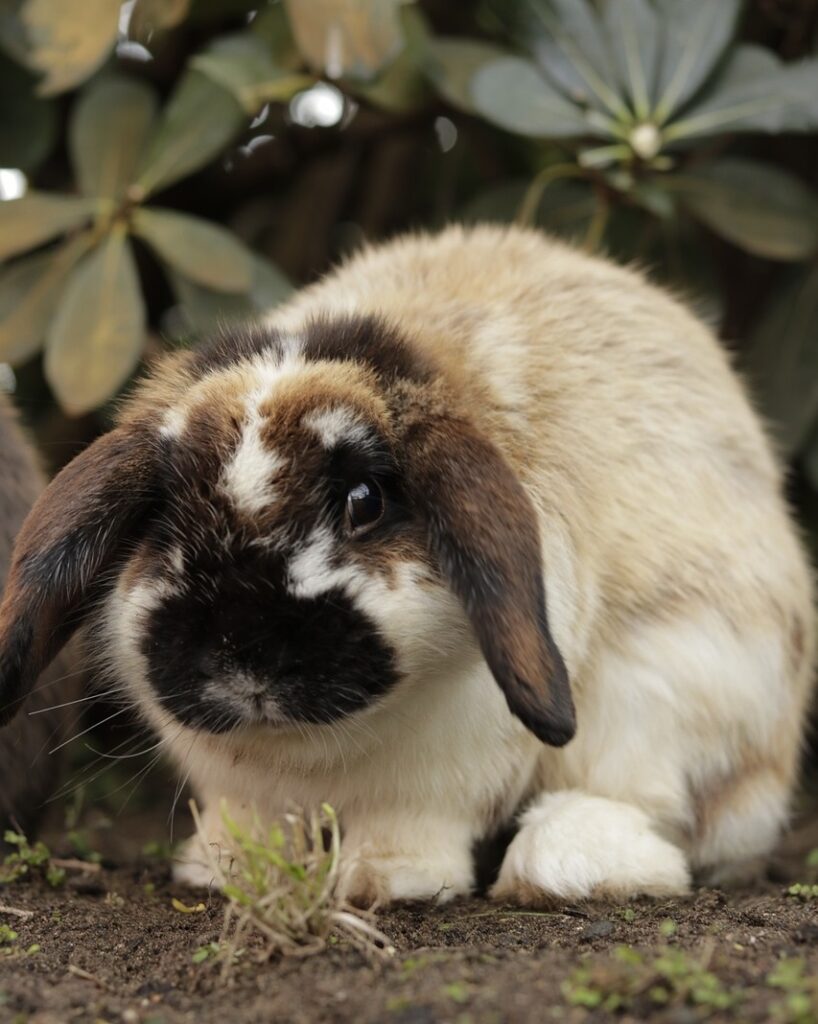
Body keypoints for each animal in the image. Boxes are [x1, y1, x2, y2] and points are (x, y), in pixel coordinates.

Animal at [0, 226, 810, 905]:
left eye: (365, 501)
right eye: (162, 514)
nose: (243, 656)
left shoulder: (436, 780)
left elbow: (409, 827)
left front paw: (381, 883)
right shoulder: (243, 791)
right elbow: (251, 824)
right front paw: (231, 875)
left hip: (673, 690)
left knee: (649, 806)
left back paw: (564, 865)